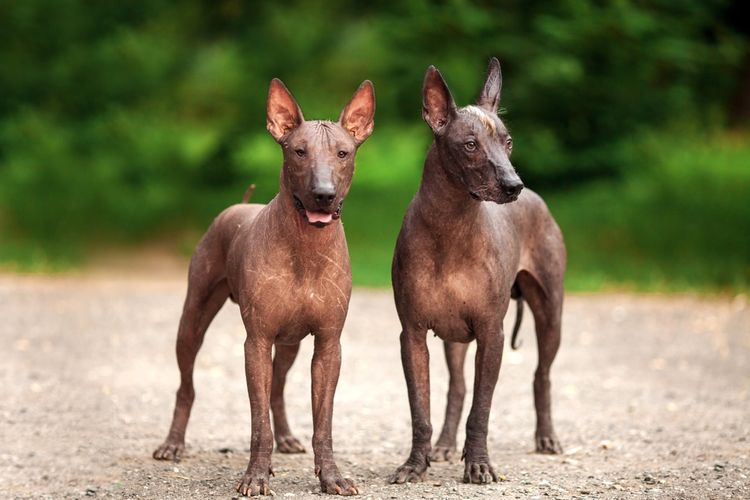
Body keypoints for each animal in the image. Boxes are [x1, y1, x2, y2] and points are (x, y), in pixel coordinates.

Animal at [153, 78, 376, 496]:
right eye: (299, 151)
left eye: (343, 153)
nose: (323, 193)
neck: (306, 246)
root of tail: (237, 206)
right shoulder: (255, 342)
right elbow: (258, 424)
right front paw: (256, 475)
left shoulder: (328, 345)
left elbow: (323, 422)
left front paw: (331, 476)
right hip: (193, 320)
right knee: (186, 387)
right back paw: (172, 443)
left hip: (289, 343)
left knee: (278, 388)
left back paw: (286, 437)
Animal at [390, 57, 568, 484]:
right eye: (470, 145)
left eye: (508, 142)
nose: (513, 184)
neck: (451, 227)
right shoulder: (412, 336)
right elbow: (420, 411)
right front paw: (415, 464)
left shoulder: (492, 334)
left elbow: (482, 409)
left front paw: (479, 464)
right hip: (453, 338)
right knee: (456, 388)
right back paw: (443, 445)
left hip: (550, 314)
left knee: (542, 375)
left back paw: (546, 437)